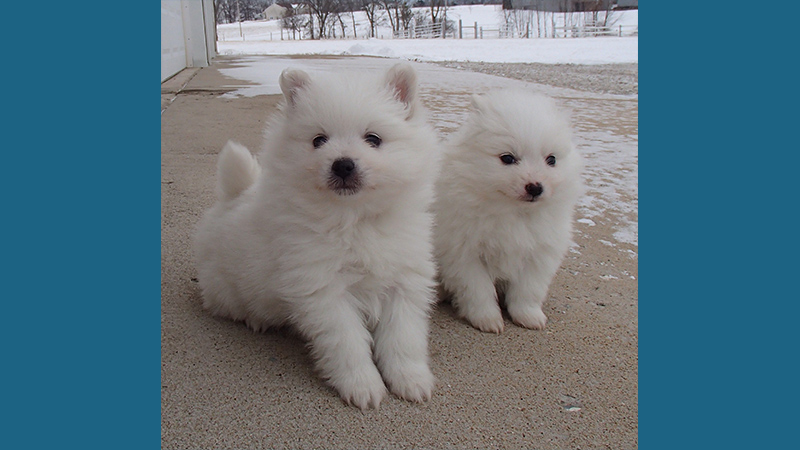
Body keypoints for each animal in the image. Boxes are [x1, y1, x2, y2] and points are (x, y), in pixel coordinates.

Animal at [195, 64, 444, 412]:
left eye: (373, 139)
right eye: (319, 140)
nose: (343, 164)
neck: (355, 220)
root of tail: (232, 198)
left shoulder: (405, 283)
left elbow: (403, 337)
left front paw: (410, 379)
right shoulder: (324, 290)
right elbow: (348, 343)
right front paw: (362, 385)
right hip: (225, 287)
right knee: (224, 303)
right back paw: (255, 319)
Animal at [434, 89, 584, 334]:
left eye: (551, 159)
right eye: (507, 158)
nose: (535, 187)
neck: (513, 213)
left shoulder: (539, 255)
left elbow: (528, 290)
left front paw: (529, 316)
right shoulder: (465, 254)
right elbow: (478, 290)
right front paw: (487, 319)